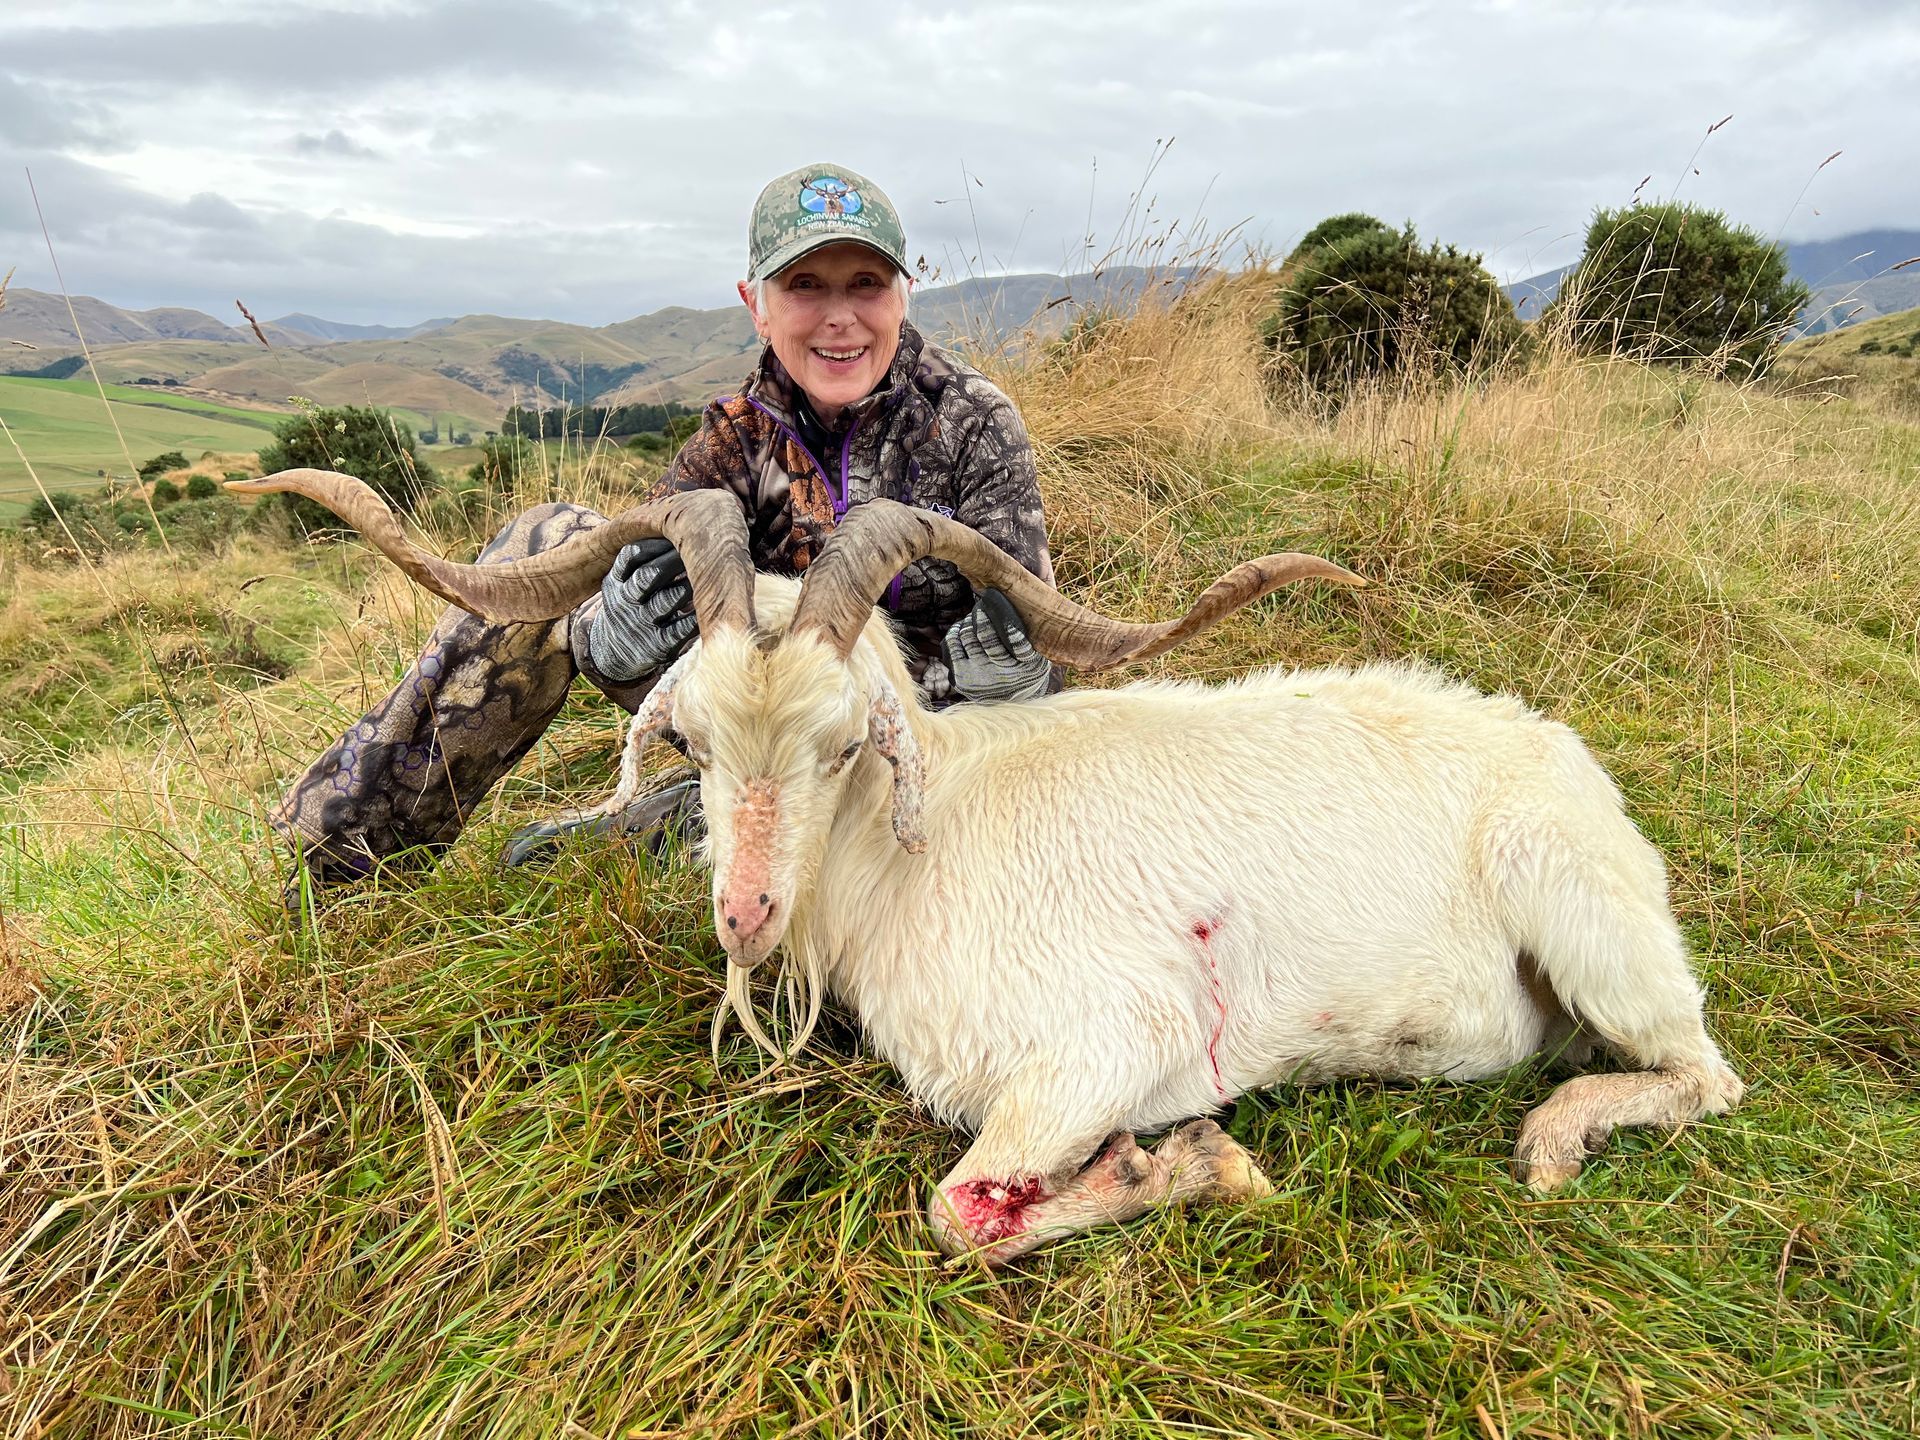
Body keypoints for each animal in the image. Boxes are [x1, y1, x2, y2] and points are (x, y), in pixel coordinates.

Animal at [231, 470, 1746, 1265]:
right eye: (696, 739)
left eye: (849, 742)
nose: (748, 914)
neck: (925, 849)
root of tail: (1562, 755)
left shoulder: (1108, 1042)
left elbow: (961, 1208)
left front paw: (1185, 1165)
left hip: (1590, 920)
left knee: (1705, 1074)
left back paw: (1555, 1139)